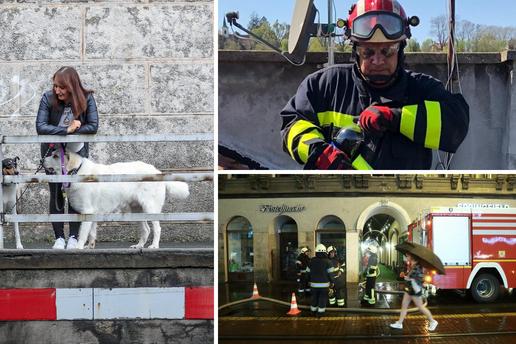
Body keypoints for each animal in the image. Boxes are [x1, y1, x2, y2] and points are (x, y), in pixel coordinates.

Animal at [41, 152, 188, 249]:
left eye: (55, 156)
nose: (42, 159)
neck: (76, 171)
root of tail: (159, 172)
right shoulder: (93, 213)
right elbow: (92, 233)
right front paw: (90, 247)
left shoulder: (87, 212)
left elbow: (83, 233)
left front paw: (78, 247)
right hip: (137, 210)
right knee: (146, 230)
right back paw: (138, 246)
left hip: (150, 209)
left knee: (157, 228)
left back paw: (154, 246)